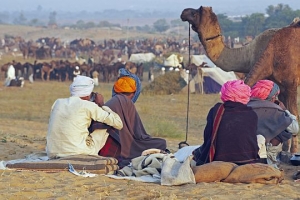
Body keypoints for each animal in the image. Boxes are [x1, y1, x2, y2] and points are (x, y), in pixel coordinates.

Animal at [180, 6, 300, 153]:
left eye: (195, 12)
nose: (184, 12)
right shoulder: (279, 85)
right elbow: (285, 111)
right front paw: (284, 149)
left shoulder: (290, 84)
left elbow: (294, 114)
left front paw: (294, 151)